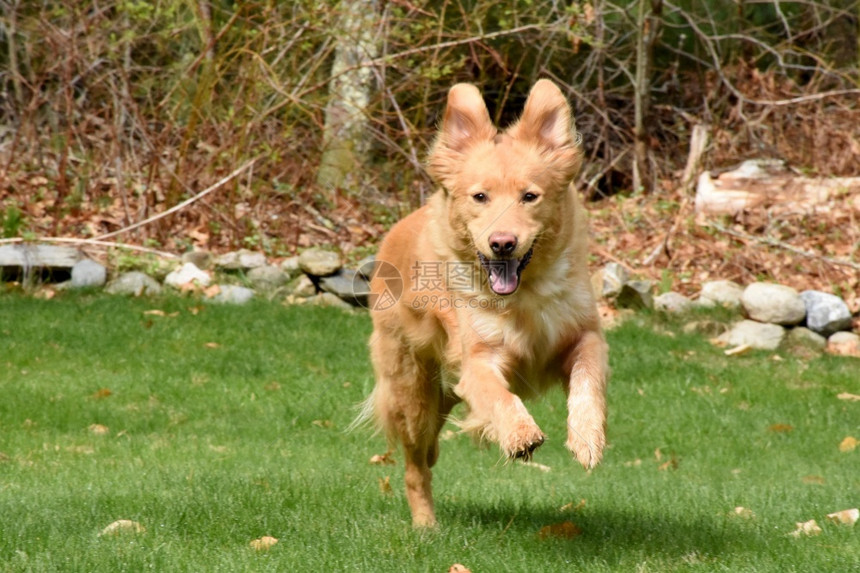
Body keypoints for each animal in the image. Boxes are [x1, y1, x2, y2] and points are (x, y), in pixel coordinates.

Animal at [360, 78, 608, 524]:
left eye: (530, 196)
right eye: (480, 197)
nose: (503, 243)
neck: (525, 296)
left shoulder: (586, 336)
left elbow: (588, 382)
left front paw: (586, 437)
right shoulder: (477, 360)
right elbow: (499, 394)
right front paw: (519, 433)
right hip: (413, 394)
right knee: (415, 465)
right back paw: (425, 525)